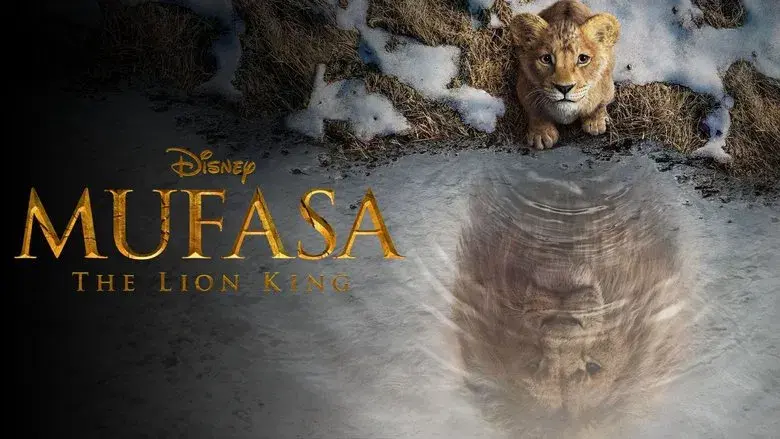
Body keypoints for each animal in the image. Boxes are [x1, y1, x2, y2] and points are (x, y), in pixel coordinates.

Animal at [509, 0, 620, 150]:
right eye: (546, 59)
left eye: (583, 59)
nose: (564, 88)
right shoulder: (524, 88)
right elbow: (535, 111)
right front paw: (541, 134)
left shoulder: (607, 87)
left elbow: (600, 105)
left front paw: (596, 122)